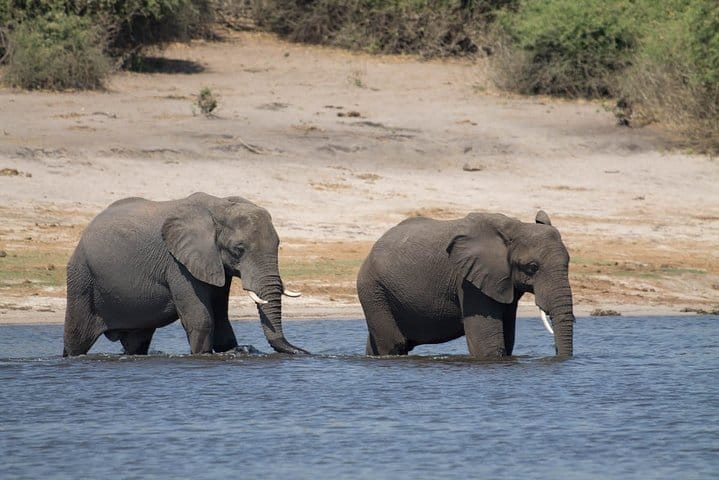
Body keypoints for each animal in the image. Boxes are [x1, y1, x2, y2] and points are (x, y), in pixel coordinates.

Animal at [63, 192, 307, 356]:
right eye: (239, 249)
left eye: (278, 245)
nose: (303, 352)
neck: (219, 207)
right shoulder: (177, 263)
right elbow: (201, 319)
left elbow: (221, 318)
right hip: (81, 277)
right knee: (76, 338)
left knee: (137, 342)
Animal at [356, 210, 574, 358]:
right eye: (532, 267)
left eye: (568, 263)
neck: (516, 227)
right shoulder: (468, 282)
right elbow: (488, 346)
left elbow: (507, 340)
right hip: (373, 289)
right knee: (393, 344)